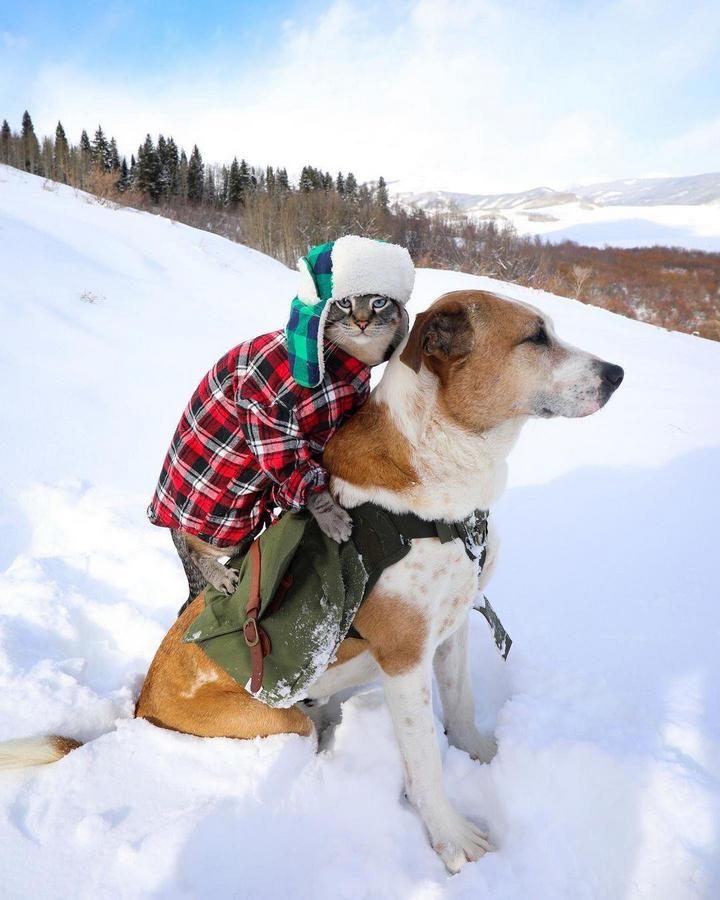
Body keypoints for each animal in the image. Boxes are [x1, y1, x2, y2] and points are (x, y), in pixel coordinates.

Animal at [0, 288, 620, 872]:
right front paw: (453, 840)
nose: (617, 374)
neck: (442, 481)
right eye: (535, 337)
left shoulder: (452, 629)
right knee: (305, 731)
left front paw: (485, 757)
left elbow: (462, 708)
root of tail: (139, 708)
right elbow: (424, 762)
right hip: (279, 722)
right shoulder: (404, 658)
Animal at [148, 236, 410, 608]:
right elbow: (303, 476)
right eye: (344, 302)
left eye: (378, 301)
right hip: (226, 528)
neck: (345, 364)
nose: (361, 321)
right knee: (193, 552)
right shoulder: (267, 417)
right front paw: (330, 517)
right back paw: (221, 576)